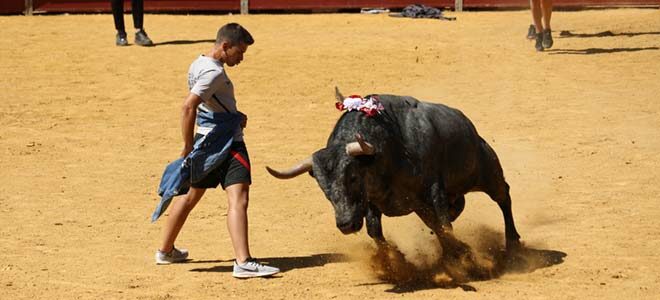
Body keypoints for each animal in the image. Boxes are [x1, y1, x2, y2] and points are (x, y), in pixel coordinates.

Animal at [266, 90, 520, 256]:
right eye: (322, 187)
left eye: (353, 176)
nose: (346, 224)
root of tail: (470, 127)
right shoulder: (371, 201)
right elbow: (375, 231)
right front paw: (396, 258)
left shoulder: (433, 190)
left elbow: (443, 225)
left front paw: (461, 254)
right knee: (453, 209)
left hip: (487, 171)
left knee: (503, 196)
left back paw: (513, 241)